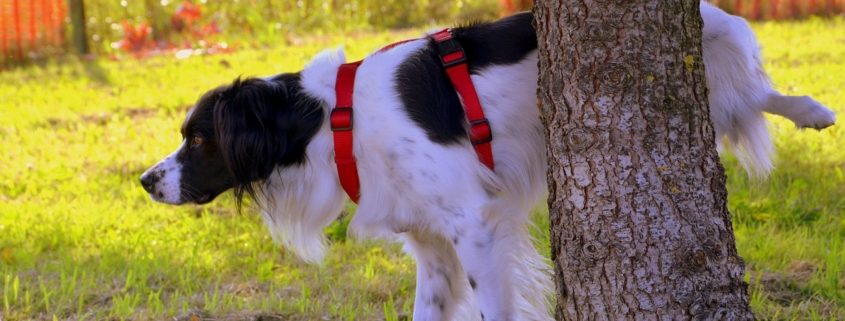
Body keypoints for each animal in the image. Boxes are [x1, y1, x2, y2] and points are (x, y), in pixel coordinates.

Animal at [138, 3, 832, 320]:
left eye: (198, 140)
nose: (145, 181)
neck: (334, 121)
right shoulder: (431, 245)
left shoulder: (474, 226)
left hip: (713, 54)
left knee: (753, 85)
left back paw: (812, 109)